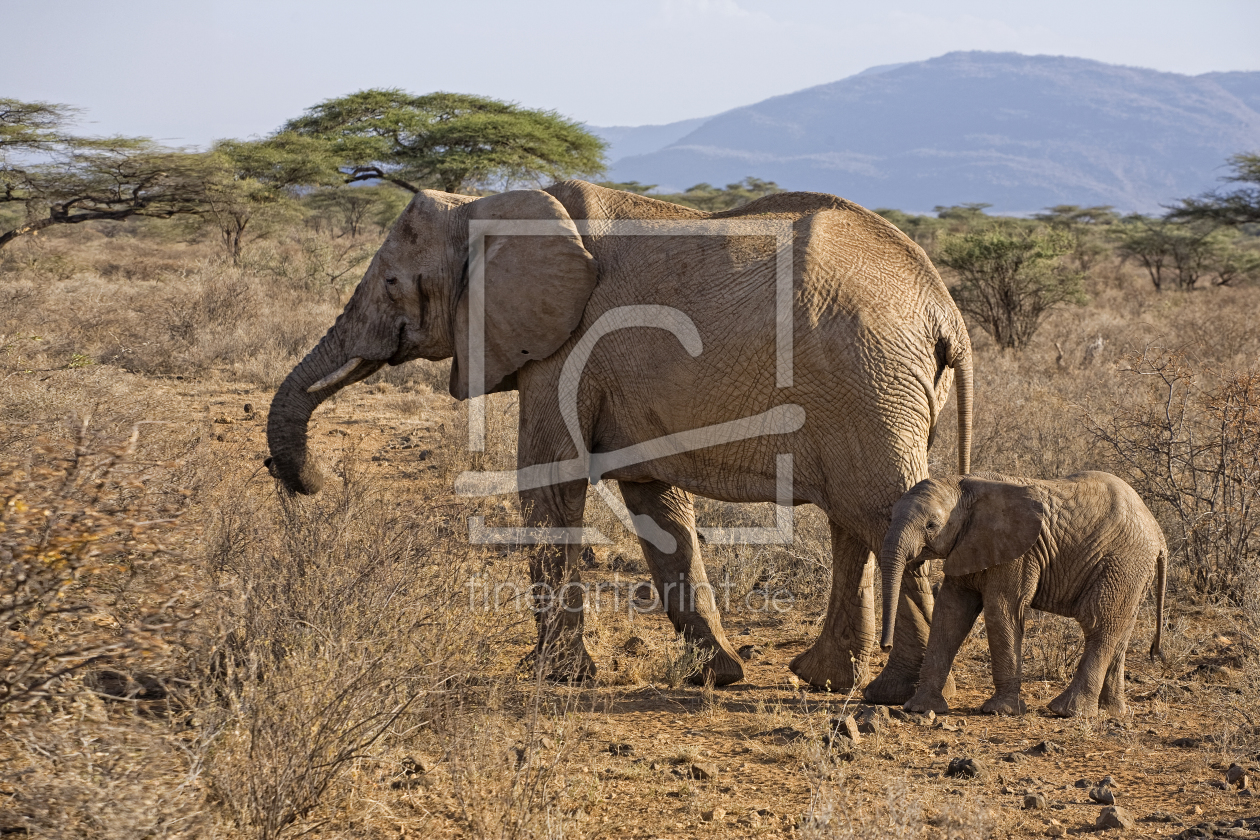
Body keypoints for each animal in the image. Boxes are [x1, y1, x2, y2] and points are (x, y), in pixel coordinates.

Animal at [265, 178, 972, 705]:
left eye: (391, 283)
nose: (303, 476)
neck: (485, 205)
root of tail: (946, 314)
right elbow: (654, 500)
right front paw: (716, 675)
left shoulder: (567, 348)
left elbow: (550, 478)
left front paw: (557, 676)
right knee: (855, 518)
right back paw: (829, 681)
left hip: (868, 383)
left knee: (881, 515)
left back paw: (892, 695)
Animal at [882, 473, 1164, 715]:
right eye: (890, 518)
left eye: (931, 525)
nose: (885, 646)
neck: (965, 485)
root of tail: (1159, 534)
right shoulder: (967, 546)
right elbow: (950, 613)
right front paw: (920, 708)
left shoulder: (1017, 554)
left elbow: (1001, 610)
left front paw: (1000, 711)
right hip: (1135, 573)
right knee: (1120, 632)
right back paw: (1111, 711)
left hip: (1122, 563)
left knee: (1099, 625)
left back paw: (1066, 711)